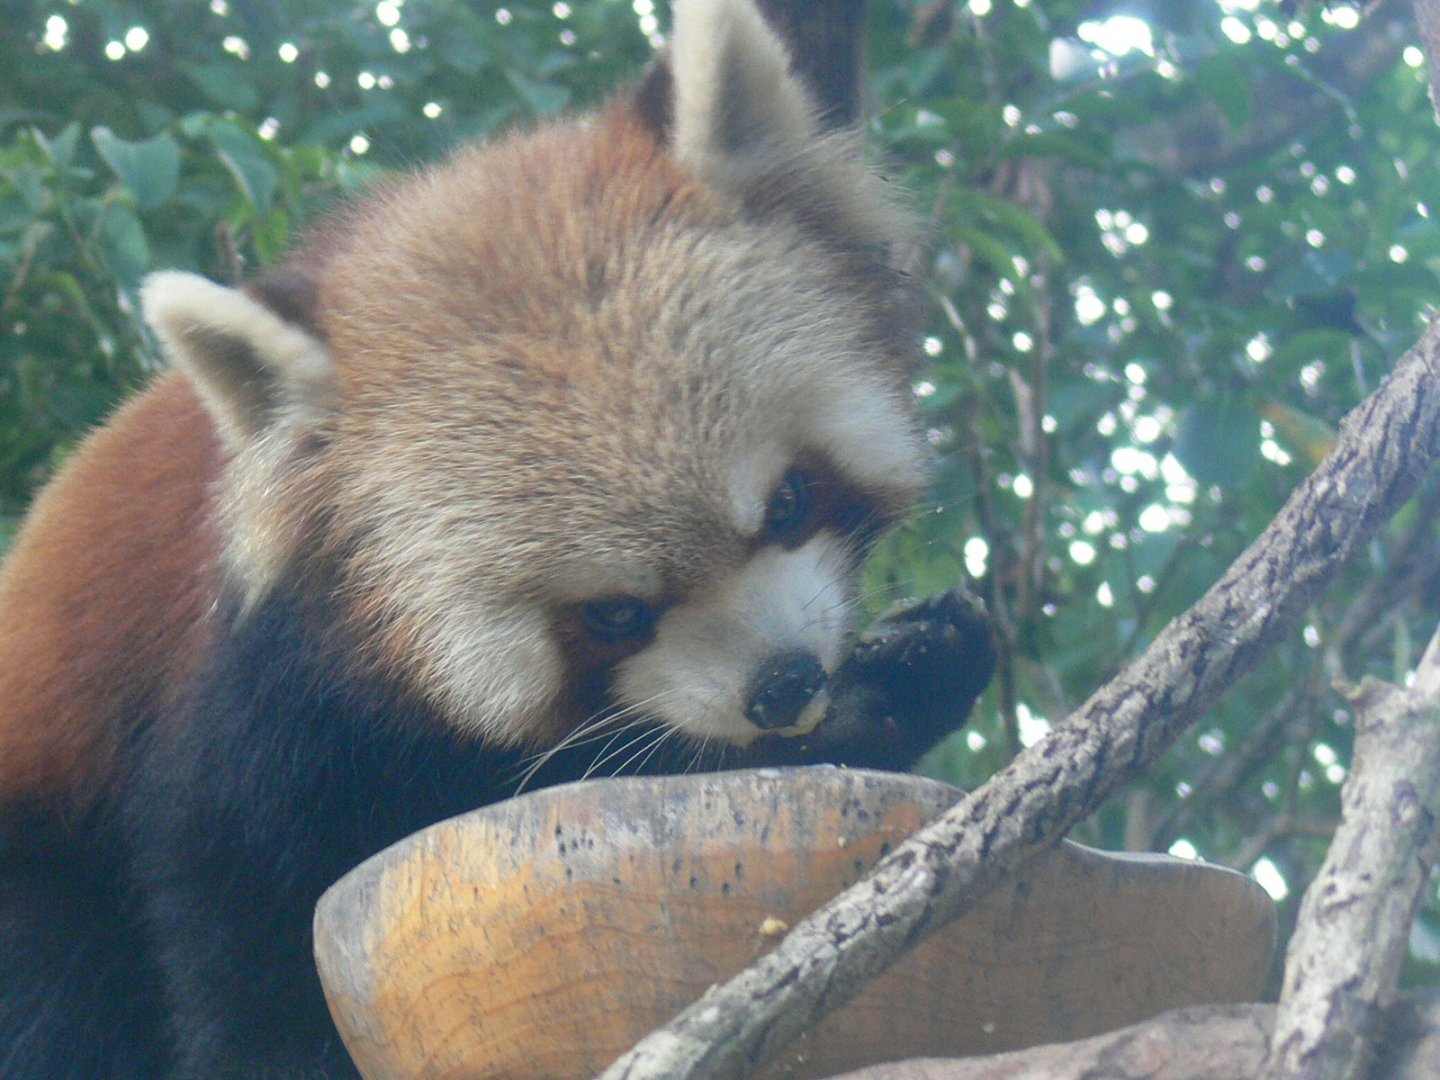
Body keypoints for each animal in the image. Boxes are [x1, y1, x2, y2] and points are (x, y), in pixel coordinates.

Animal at [0, 0, 994, 1076]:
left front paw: (903, 674)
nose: (784, 684)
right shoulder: (255, 709)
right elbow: (246, 928)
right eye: (613, 613)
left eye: (790, 500)